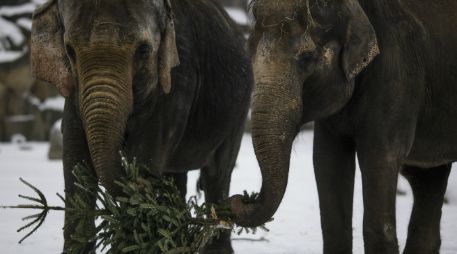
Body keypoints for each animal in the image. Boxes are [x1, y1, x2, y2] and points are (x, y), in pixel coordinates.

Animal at [31, 0, 253, 252]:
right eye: (69, 50)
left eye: (144, 50)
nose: (140, 183)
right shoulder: (73, 92)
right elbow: (76, 162)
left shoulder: (177, 82)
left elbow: (146, 156)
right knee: (176, 176)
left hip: (239, 112)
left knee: (217, 173)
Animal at [230, 0, 456, 254]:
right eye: (249, 50)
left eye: (307, 56)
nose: (242, 197)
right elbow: (327, 163)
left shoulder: (397, 82)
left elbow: (380, 161)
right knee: (427, 180)